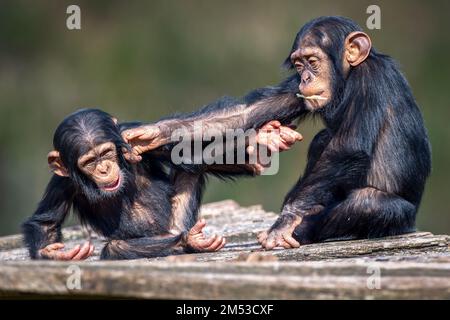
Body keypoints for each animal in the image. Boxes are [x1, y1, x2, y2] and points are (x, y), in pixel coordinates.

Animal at [22, 108, 300, 260]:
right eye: (90, 161)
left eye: (107, 153)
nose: (104, 168)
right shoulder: (62, 181)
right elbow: (46, 222)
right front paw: (53, 253)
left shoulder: (131, 138)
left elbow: (185, 151)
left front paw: (265, 138)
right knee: (116, 247)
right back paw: (188, 242)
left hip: (176, 222)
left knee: (190, 165)